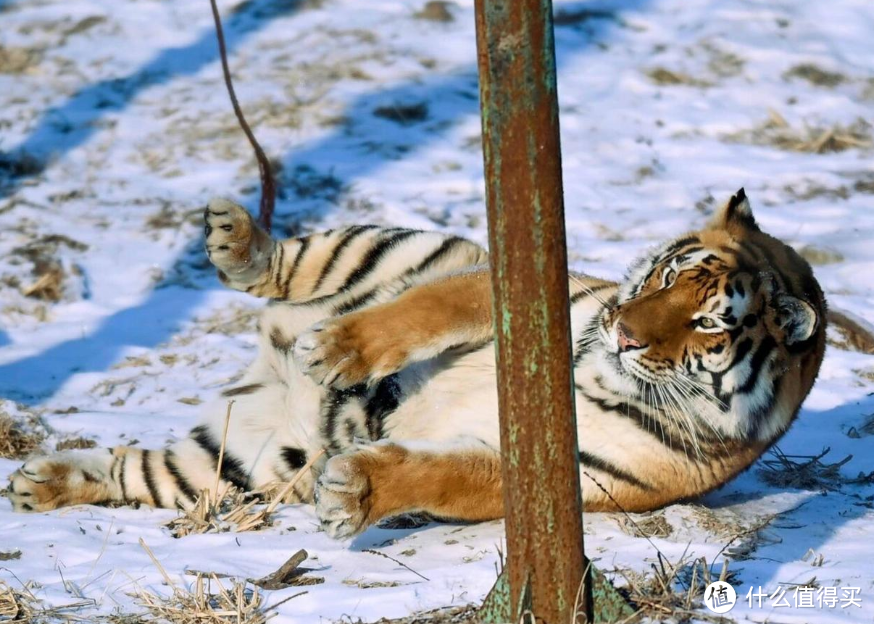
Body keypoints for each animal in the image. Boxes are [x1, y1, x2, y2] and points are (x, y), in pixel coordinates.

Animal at [6, 188, 828, 540]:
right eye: (663, 275)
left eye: (706, 324)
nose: (621, 332)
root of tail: (266, 369)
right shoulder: (521, 286)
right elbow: (425, 313)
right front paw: (338, 352)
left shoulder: (569, 474)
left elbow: (451, 477)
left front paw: (354, 492)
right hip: (399, 246)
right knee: (287, 265)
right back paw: (240, 242)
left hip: (236, 462)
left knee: (134, 470)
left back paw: (41, 483)